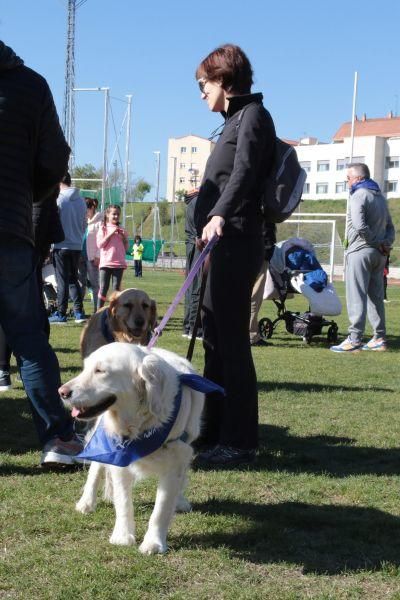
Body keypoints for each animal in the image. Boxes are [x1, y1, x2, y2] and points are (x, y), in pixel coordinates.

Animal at [60, 342, 206, 552]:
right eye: (85, 368)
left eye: (100, 371)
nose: (62, 392)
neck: (141, 426)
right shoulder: (119, 457)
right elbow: (123, 502)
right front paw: (122, 536)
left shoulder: (176, 460)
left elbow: (162, 508)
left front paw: (153, 543)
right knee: (95, 469)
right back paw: (86, 502)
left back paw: (180, 500)